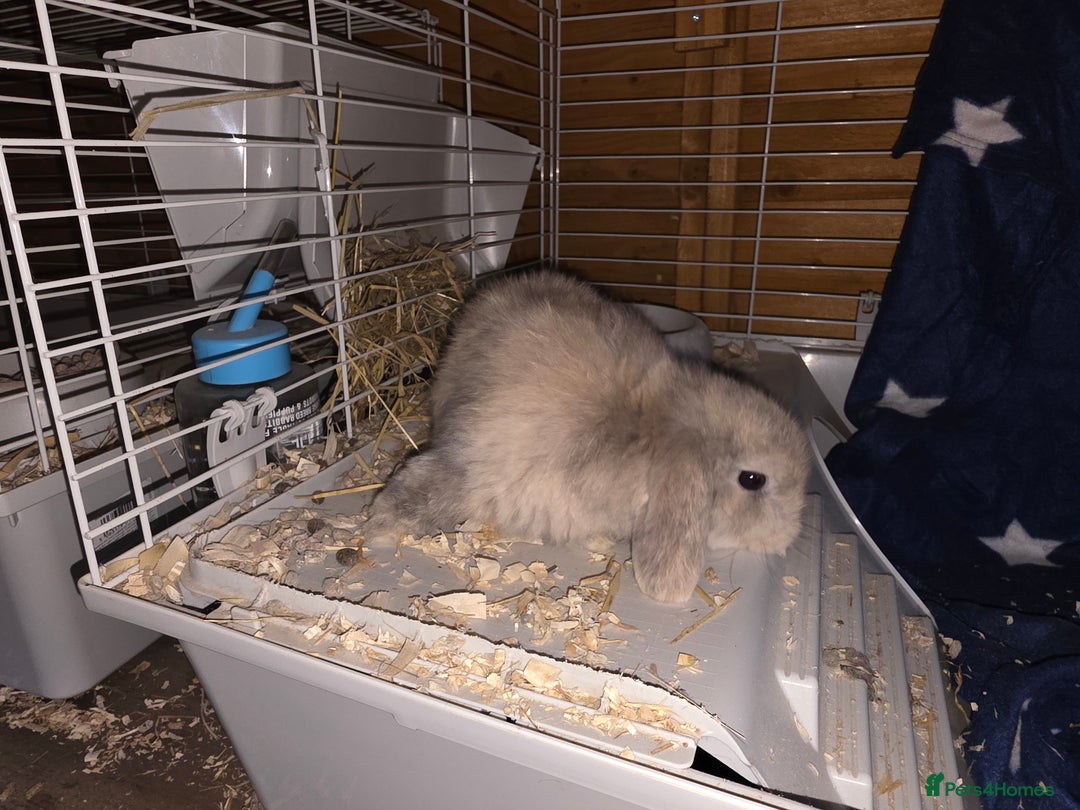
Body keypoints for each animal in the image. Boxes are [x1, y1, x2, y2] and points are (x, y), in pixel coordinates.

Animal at [363, 270, 811, 603]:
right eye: (752, 479)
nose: (788, 539)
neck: (644, 429)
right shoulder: (476, 462)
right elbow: (432, 487)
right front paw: (381, 521)